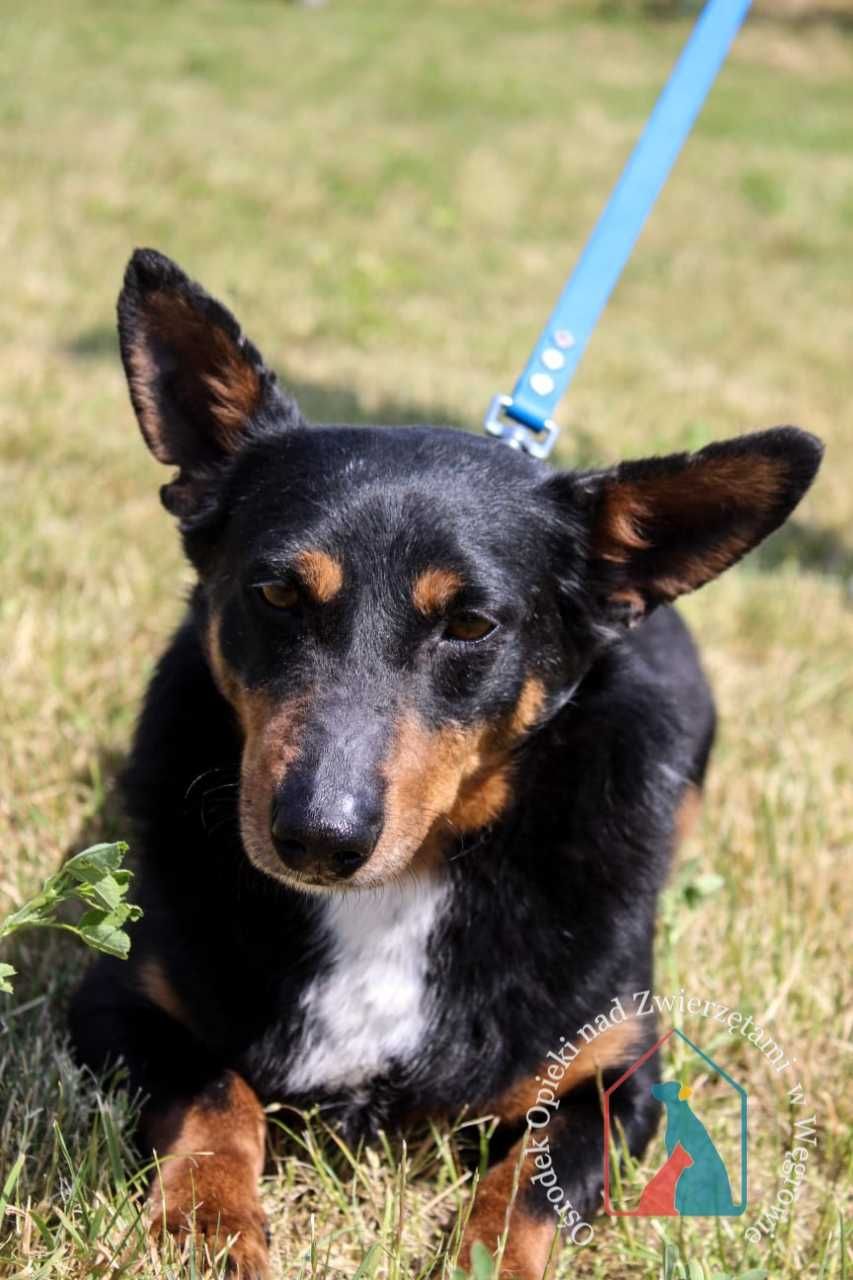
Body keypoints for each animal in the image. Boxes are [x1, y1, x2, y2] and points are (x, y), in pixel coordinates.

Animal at [69, 252, 819, 1280]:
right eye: (275, 593)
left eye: (469, 624)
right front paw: (210, 1225)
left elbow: (526, 1187)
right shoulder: (121, 1001)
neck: (405, 884)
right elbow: (217, 1093)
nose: (317, 837)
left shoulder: (613, 1077)